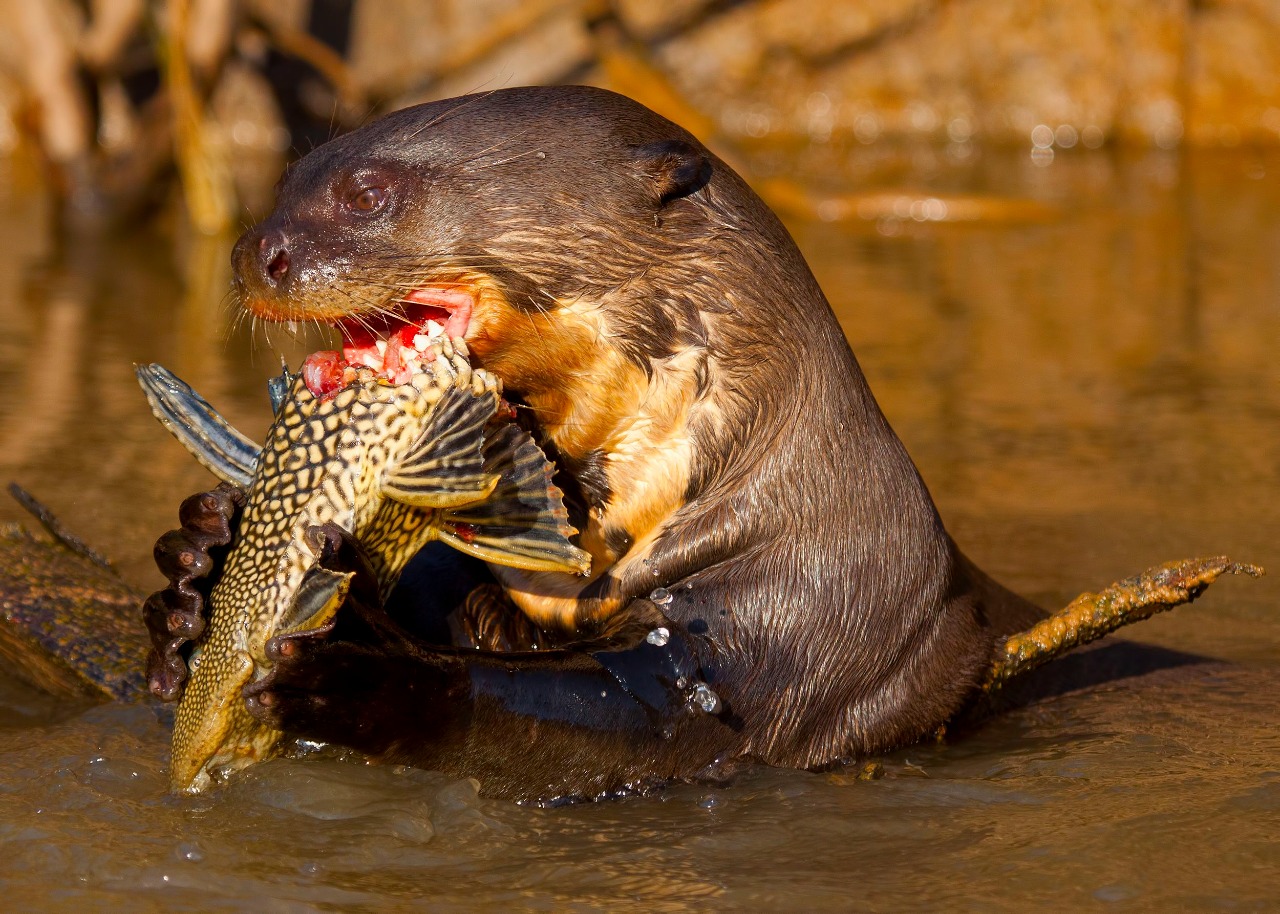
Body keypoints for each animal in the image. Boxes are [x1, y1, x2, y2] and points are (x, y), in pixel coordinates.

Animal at [145, 85, 1064, 798]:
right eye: (287, 181)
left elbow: (651, 725)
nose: (255, 252)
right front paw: (197, 570)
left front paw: (367, 667)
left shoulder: (804, 617)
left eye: (367, 192)